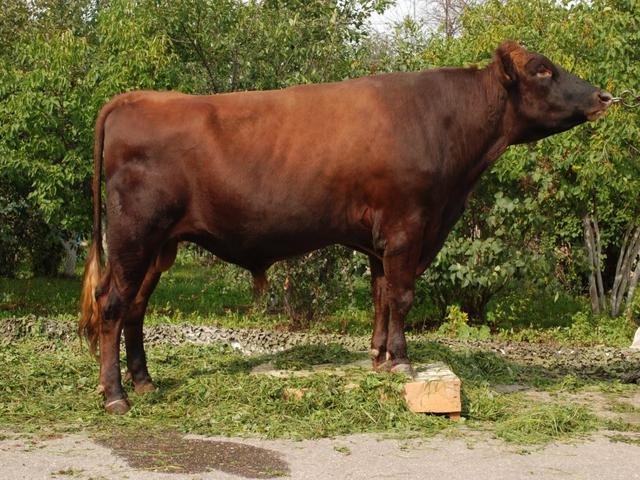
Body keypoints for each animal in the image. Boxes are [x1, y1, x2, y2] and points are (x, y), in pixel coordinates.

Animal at [79, 41, 613, 414]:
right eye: (542, 70)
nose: (605, 95)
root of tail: (135, 99)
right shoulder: (407, 226)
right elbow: (402, 296)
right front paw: (401, 360)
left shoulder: (383, 239)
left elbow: (382, 296)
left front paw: (379, 358)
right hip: (134, 236)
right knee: (113, 303)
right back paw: (115, 395)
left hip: (159, 246)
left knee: (136, 307)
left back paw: (145, 383)